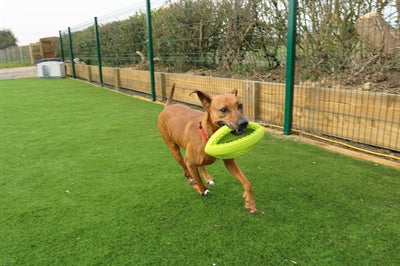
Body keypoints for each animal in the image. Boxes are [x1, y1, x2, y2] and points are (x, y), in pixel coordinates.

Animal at [157, 84, 256, 213]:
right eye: (223, 110)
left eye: (240, 105)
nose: (244, 123)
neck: (209, 135)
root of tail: (168, 107)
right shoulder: (189, 162)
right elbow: (199, 183)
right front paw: (200, 189)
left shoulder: (229, 162)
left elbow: (247, 183)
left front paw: (250, 202)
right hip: (174, 150)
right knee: (186, 170)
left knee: (199, 166)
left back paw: (207, 177)